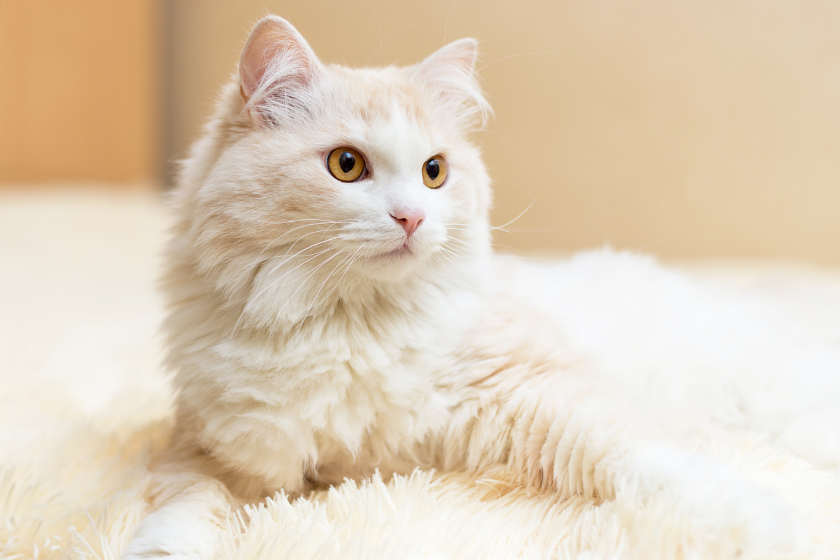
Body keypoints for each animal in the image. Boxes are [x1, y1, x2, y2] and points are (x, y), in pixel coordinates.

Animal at [121, 15, 832, 556]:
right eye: (346, 165)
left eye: (435, 172)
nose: (412, 218)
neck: (351, 325)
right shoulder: (211, 454)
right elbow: (185, 512)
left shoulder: (539, 393)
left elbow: (652, 462)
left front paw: (762, 528)